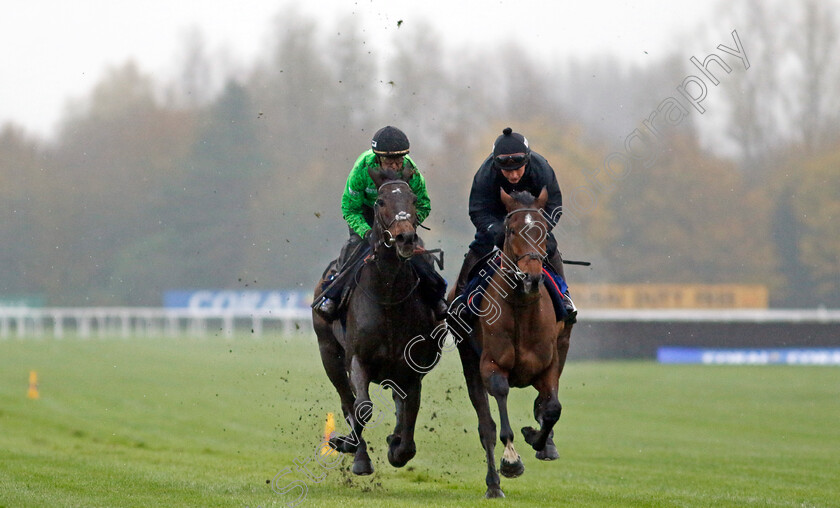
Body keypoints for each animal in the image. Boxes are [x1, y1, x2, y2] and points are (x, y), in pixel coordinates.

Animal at [312, 168, 442, 476]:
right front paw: (347, 446)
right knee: (347, 402)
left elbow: (409, 412)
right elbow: (362, 407)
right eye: (381, 201)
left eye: (412, 199)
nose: (405, 238)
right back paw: (357, 453)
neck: (389, 296)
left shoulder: (413, 368)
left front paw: (397, 447)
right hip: (329, 354)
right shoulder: (357, 359)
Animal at [446, 188, 572, 500]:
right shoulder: (492, 365)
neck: (520, 308)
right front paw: (511, 459)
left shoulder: (549, 365)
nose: (531, 277)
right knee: (486, 427)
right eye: (512, 230)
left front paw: (539, 439)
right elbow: (499, 407)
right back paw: (493, 484)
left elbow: (553, 408)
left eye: (543, 230)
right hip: (469, 361)